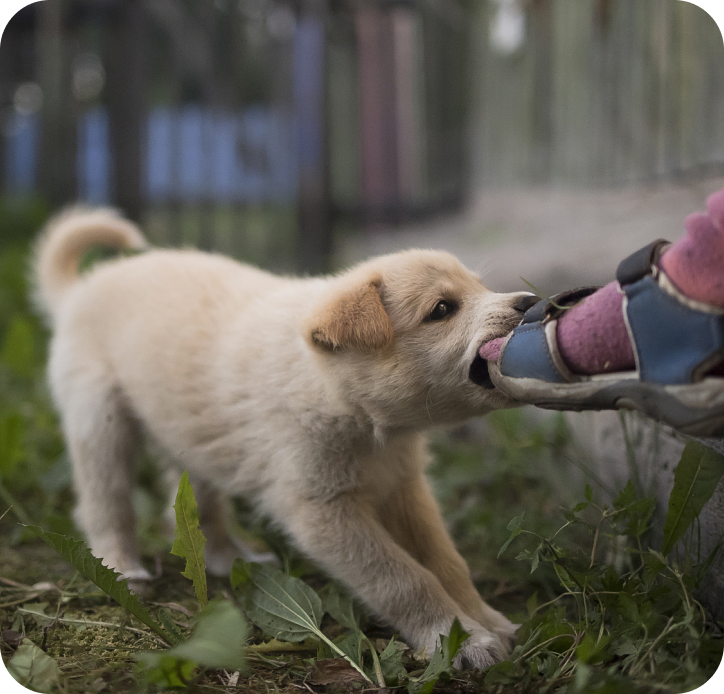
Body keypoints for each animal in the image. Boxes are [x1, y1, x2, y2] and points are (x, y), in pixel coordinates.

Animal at [34, 207, 536, 668]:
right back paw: (121, 566)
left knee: (200, 510)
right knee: (105, 502)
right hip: (100, 421)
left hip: (191, 440)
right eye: (442, 310)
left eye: (480, 287)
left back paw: (231, 558)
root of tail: (82, 289)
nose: (531, 302)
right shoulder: (322, 511)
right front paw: (457, 640)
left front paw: (486, 622)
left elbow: (447, 562)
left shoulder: (404, 489)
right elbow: (404, 578)